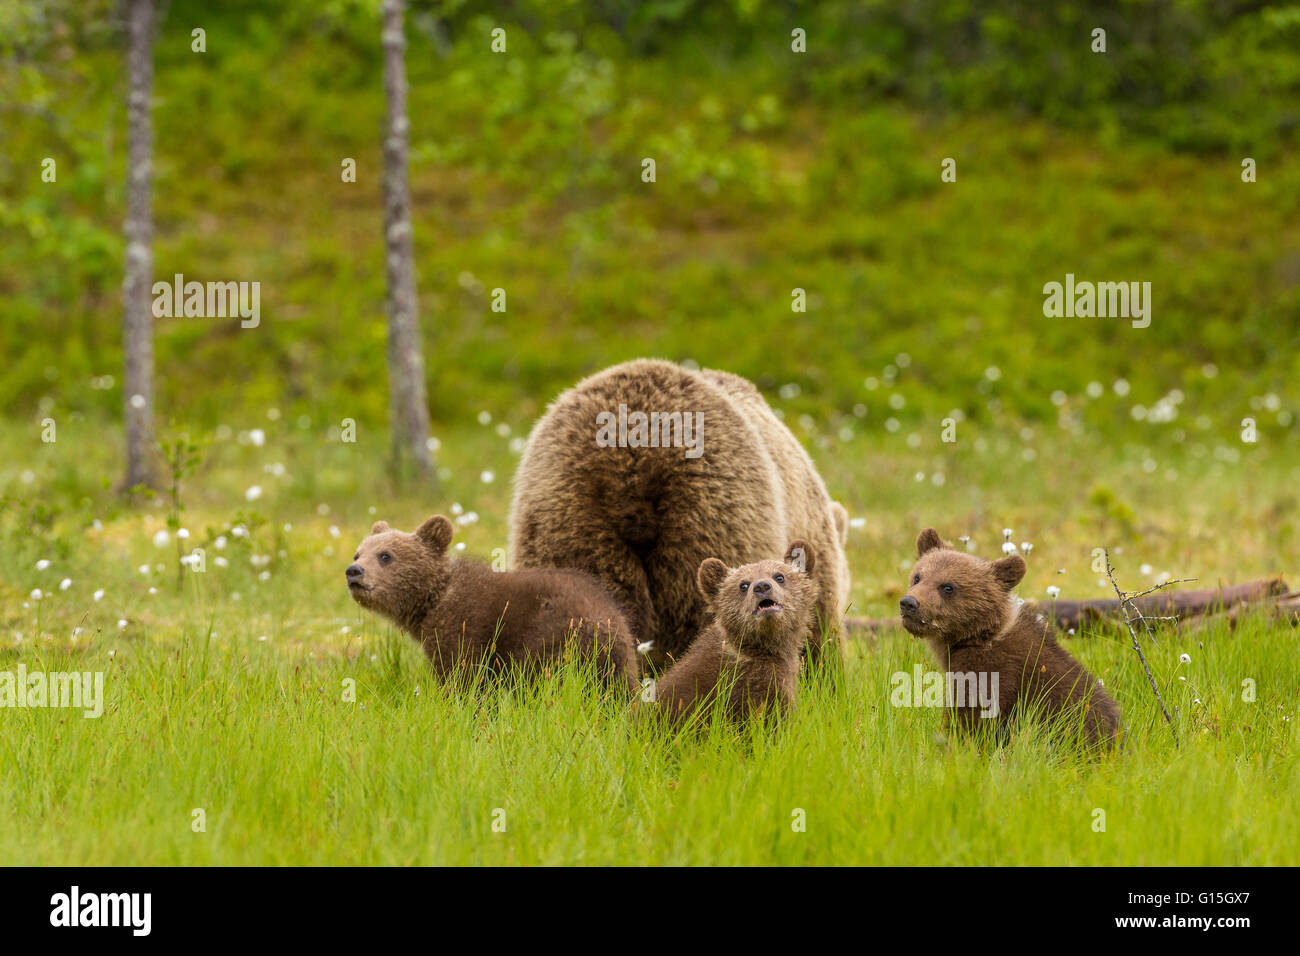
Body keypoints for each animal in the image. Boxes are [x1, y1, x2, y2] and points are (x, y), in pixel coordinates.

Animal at [346, 515, 639, 691]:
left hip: (555, 638)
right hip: (618, 665)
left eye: (385, 555)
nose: (354, 571)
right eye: (358, 553)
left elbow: (463, 676)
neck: (432, 600)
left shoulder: (465, 627)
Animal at [900, 528, 1122, 749]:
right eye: (918, 577)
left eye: (948, 587)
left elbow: (973, 718)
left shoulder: (994, 674)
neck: (979, 638)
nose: (909, 603)